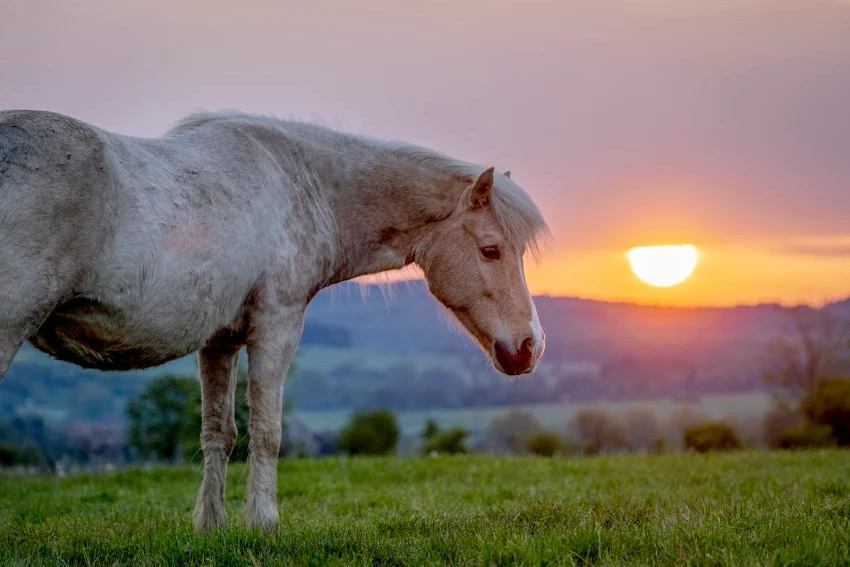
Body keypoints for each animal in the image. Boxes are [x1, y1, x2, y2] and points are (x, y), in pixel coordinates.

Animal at [0, 108, 548, 536]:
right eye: (491, 250)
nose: (531, 347)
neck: (303, 182)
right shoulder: (277, 326)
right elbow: (266, 430)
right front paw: (264, 525)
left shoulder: (218, 341)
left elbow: (218, 433)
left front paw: (212, 527)